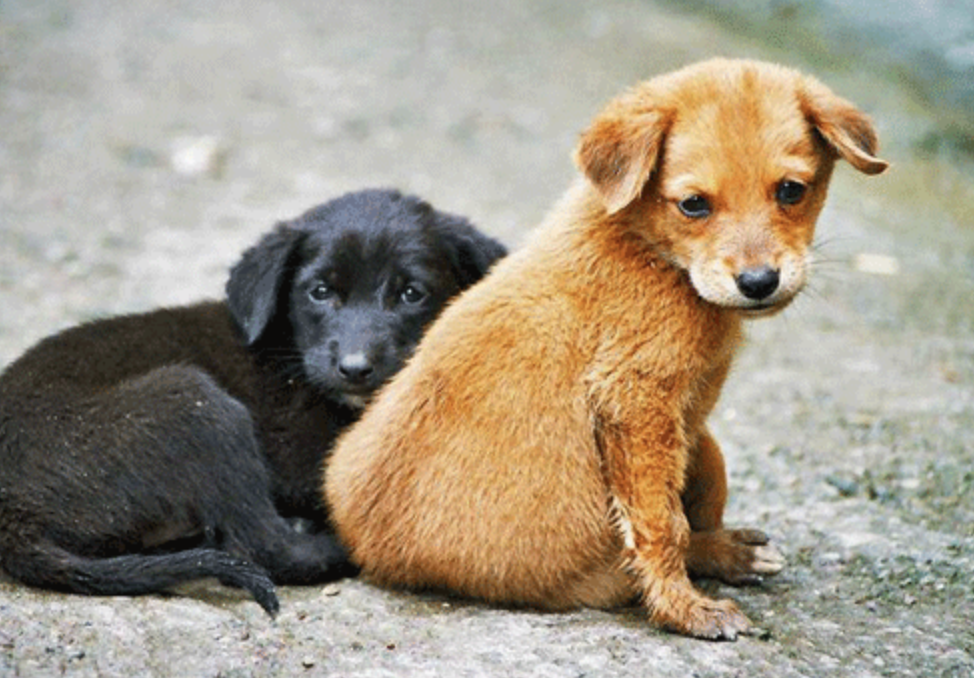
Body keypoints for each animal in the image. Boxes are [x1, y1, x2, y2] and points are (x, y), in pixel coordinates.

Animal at [0, 189, 508, 612]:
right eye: (320, 291)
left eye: (411, 293)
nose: (355, 368)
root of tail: (12, 511)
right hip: (195, 406)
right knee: (264, 547)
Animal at [324, 59, 888, 644]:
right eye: (693, 204)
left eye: (791, 191)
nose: (759, 282)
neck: (650, 250)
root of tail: (372, 554)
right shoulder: (634, 398)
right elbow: (662, 526)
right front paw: (685, 609)